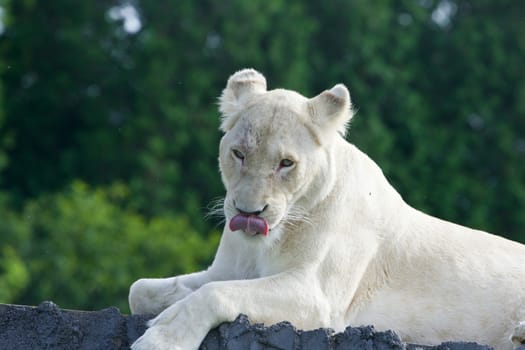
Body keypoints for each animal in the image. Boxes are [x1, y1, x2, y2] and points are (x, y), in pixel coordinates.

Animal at [128, 69, 524, 350]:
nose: (249, 212)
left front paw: (161, 340)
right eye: (238, 153)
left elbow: (216, 293)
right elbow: (140, 289)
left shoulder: (317, 297)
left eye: (286, 163)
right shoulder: (226, 269)